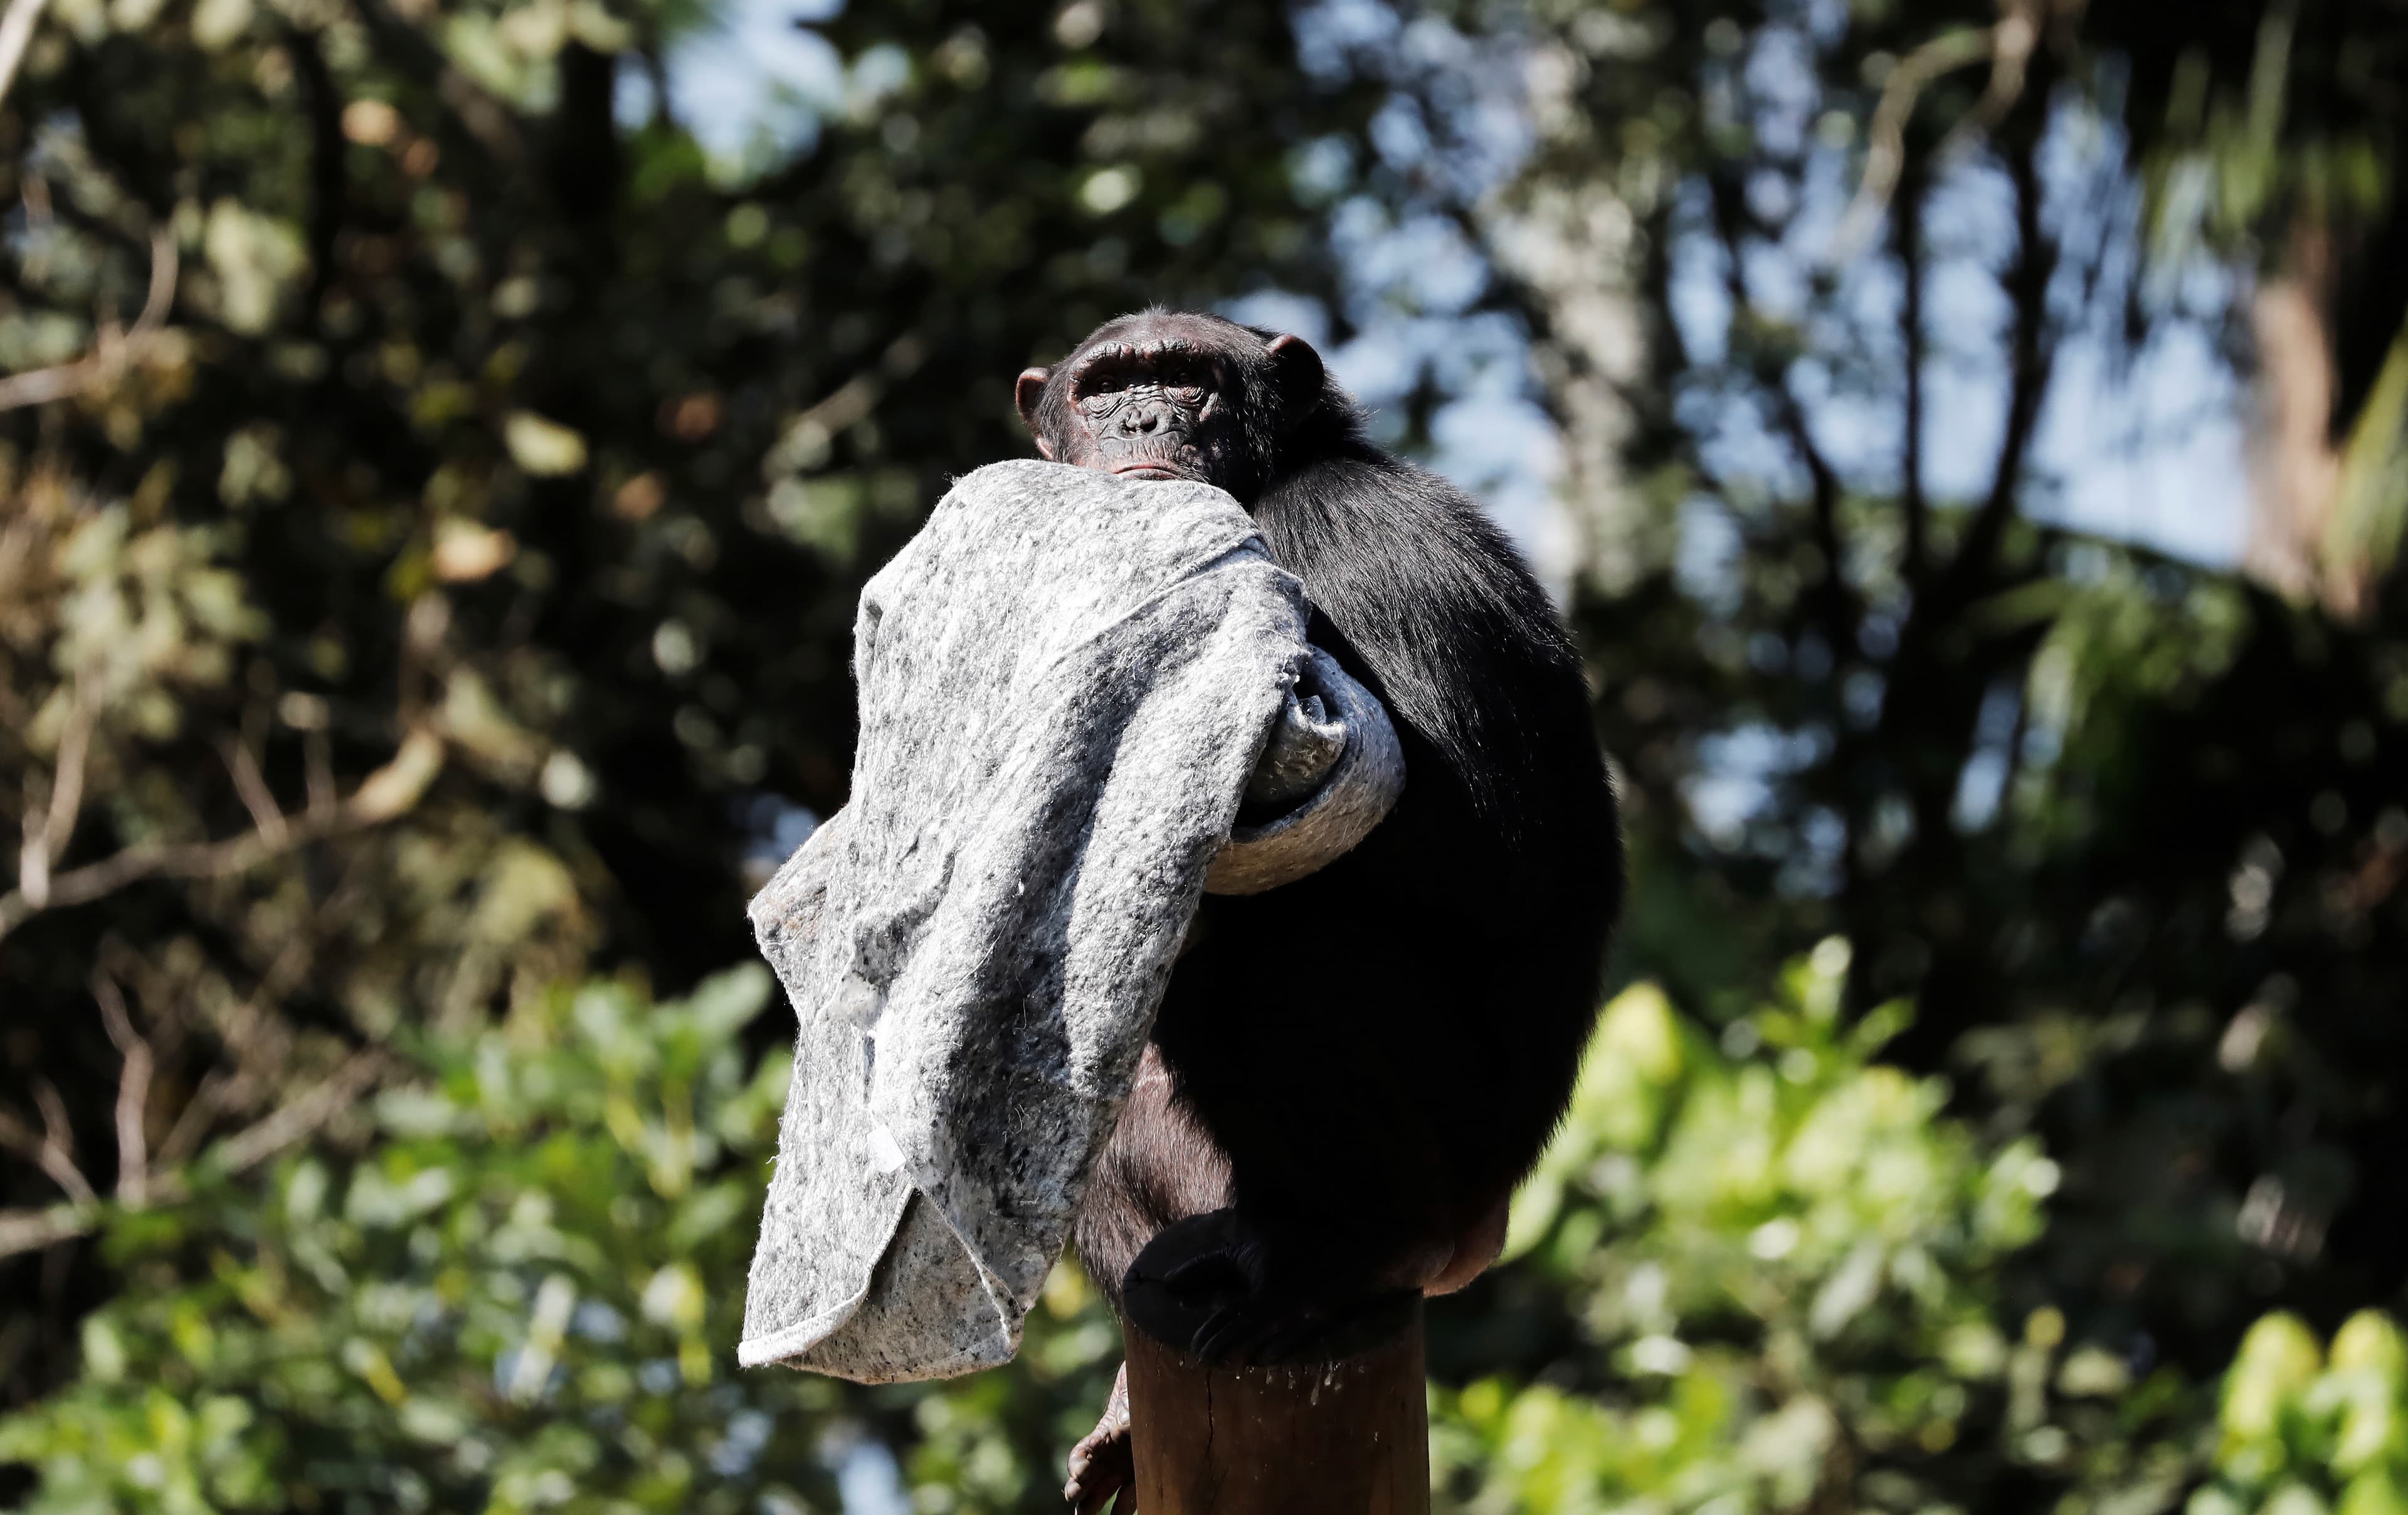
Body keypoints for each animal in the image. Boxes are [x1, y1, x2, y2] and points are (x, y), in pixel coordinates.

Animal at [1016, 311, 1621, 1512]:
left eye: (1187, 381)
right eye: (1103, 387)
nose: (1141, 420)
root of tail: (1481, 1237)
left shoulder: (1360, 542)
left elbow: (1493, 850)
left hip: (1456, 1169)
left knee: (1295, 959)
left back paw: (1347, 1264)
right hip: (1226, 1195)